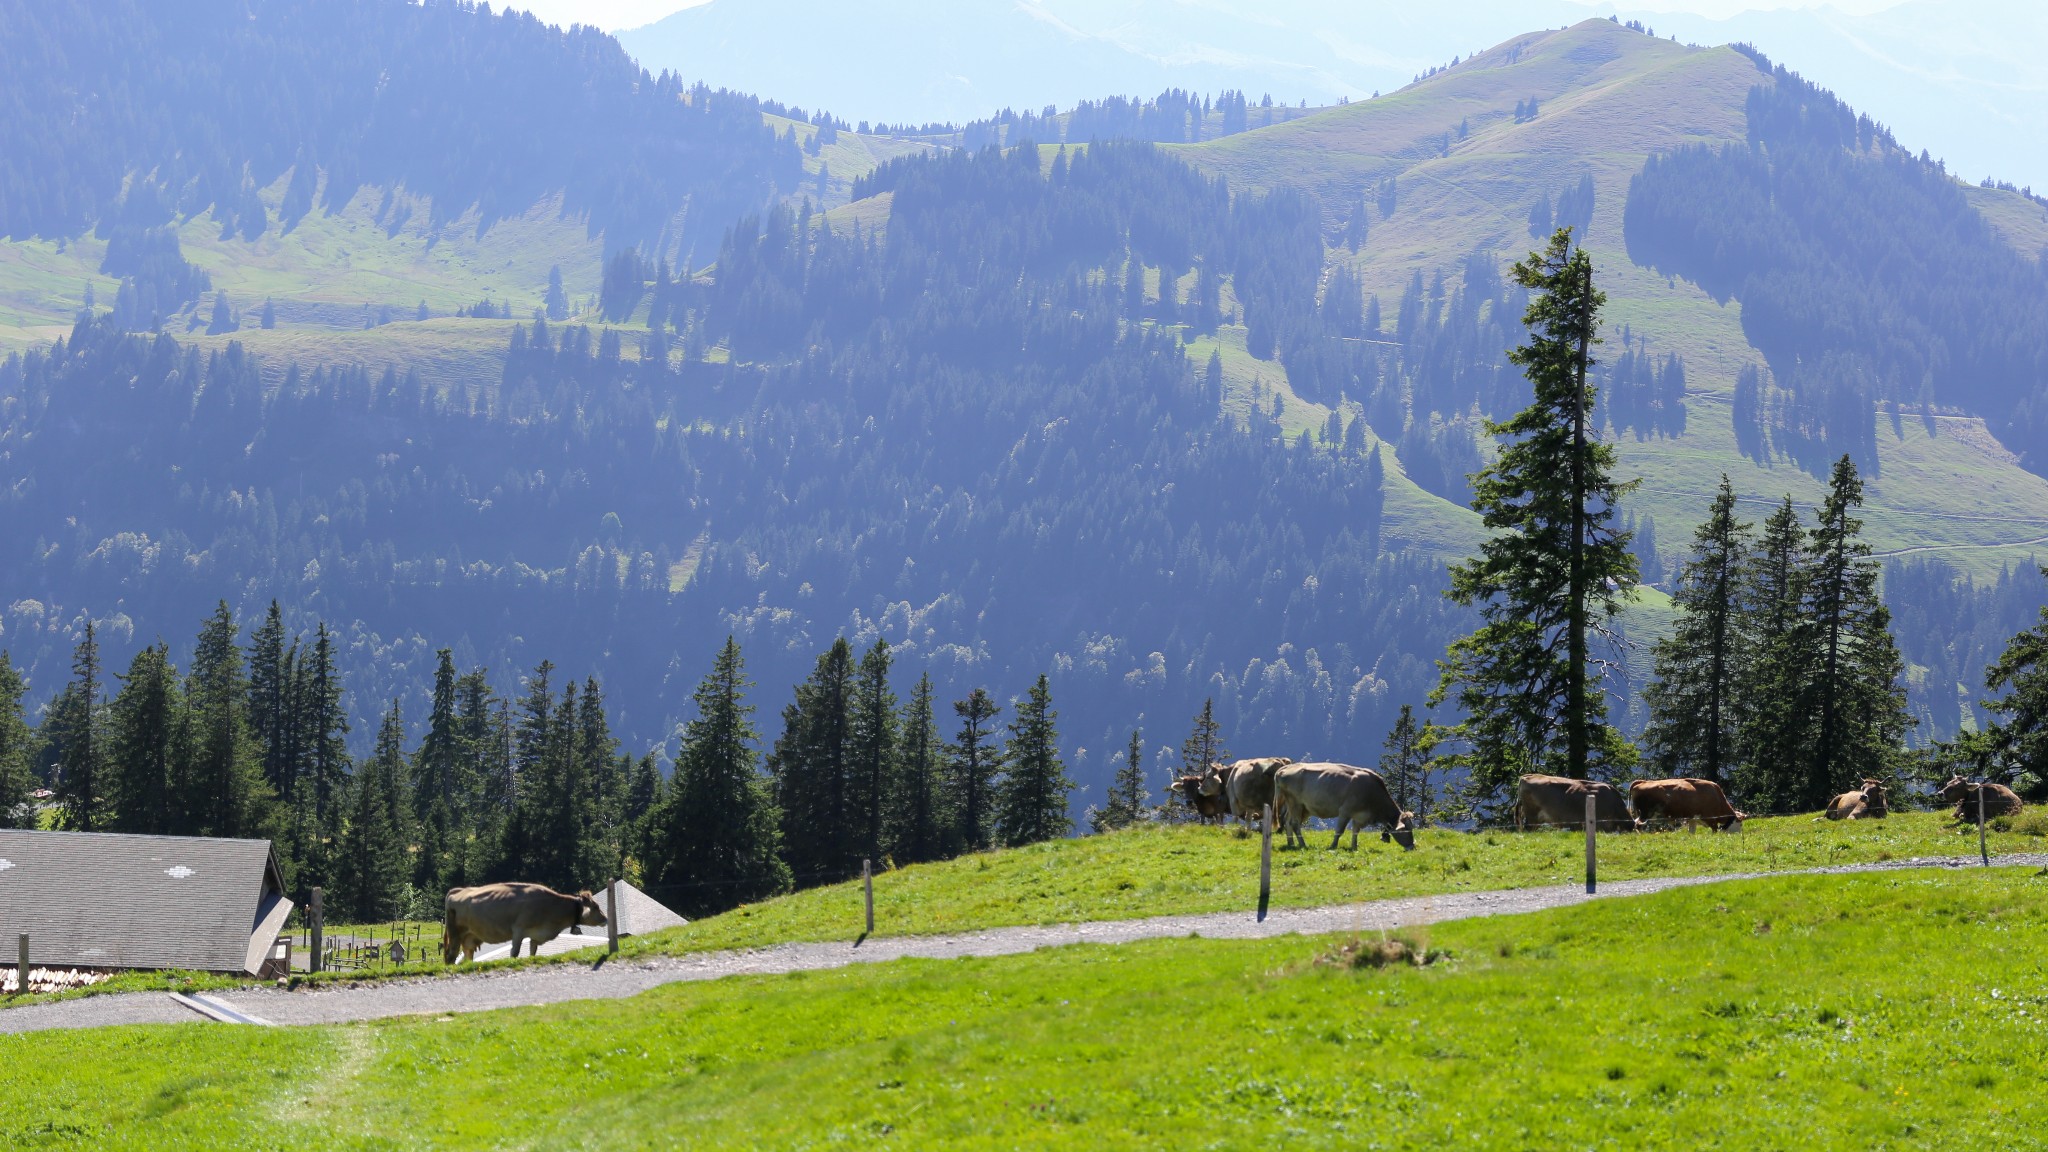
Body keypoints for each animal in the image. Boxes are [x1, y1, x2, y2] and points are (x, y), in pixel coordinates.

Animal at [444, 877, 602, 959]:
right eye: (596, 906)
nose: (605, 919)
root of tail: (457, 890)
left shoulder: (536, 934)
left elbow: (533, 951)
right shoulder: (519, 929)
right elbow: (515, 952)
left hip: (469, 937)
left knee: (467, 955)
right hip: (455, 933)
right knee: (451, 955)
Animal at [1269, 758, 1417, 848]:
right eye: (1406, 830)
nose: (1412, 846)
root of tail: (1283, 769)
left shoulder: (1359, 815)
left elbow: (1356, 831)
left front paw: (1354, 847)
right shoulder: (1345, 811)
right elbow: (1339, 831)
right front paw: (1333, 846)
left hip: (1300, 807)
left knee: (1288, 822)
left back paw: (1291, 844)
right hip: (1295, 803)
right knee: (1294, 823)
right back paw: (1303, 845)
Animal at [1622, 774, 1753, 828]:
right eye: (1739, 823)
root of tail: (1642, 782)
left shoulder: (1693, 819)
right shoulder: (1709, 818)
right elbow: (1714, 830)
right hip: (1645, 813)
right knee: (1638, 824)